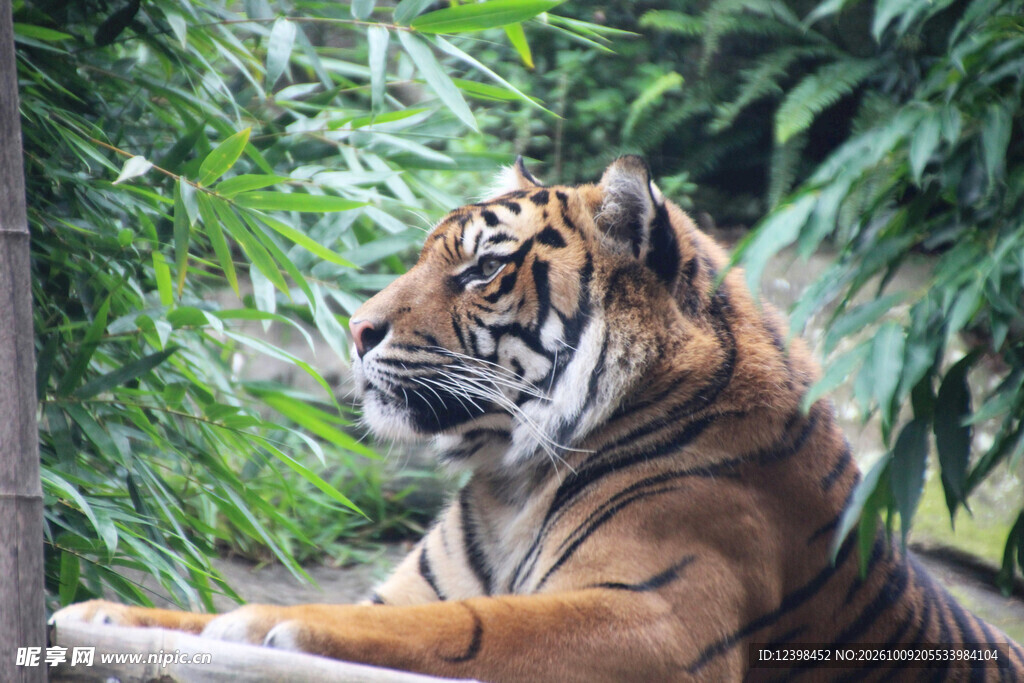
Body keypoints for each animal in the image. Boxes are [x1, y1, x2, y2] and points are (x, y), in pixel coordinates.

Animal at [52, 156, 1024, 681]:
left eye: (482, 268)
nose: (356, 329)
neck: (510, 476)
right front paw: (107, 611)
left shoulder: (654, 619)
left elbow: (466, 626)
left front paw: (256, 624)